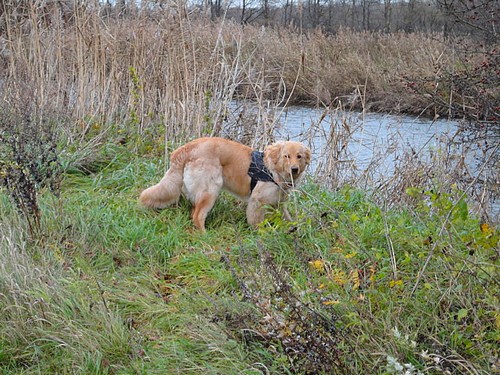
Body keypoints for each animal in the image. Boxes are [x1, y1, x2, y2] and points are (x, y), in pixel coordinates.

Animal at [139, 138, 310, 232]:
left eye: (299, 156)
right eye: (286, 156)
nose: (294, 169)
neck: (273, 170)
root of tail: (186, 149)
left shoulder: (279, 203)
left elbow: (288, 219)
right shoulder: (257, 201)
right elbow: (257, 222)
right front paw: (260, 234)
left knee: (193, 212)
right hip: (211, 189)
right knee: (197, 216)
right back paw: (205, 235)